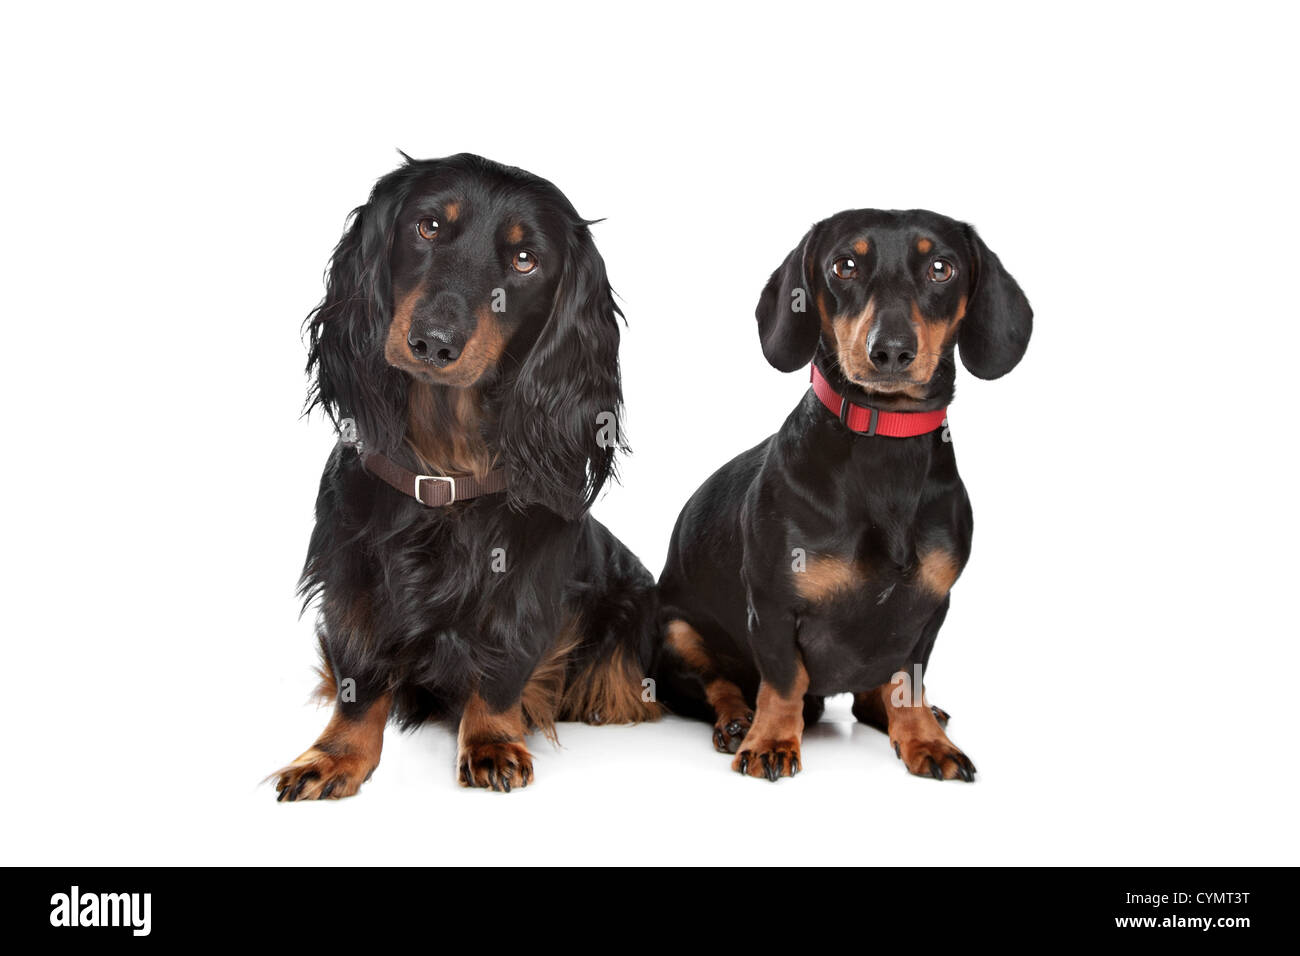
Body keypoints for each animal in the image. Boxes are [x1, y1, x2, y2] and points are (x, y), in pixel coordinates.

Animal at [655, 209, 1029, 780]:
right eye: (844, 265)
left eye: (941, 267)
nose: (891, 350)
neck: (886, 444)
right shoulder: (772, 603)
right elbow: (783, 680)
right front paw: (771, 741)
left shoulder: (929, 610)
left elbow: (908, 682)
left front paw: (925, 740)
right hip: (675, 630)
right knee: (718, 684)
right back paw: (738, 721)